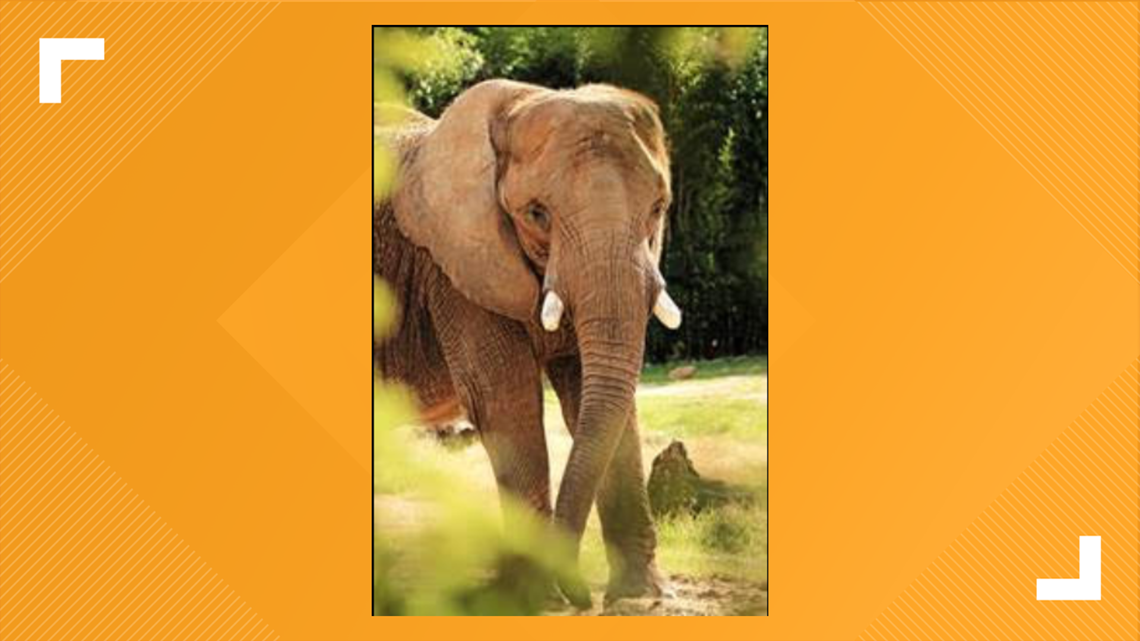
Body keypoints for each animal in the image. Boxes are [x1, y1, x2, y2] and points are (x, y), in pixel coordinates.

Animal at [373, 79, 682, 608]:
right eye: (537, 214)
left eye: (657, 209)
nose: (580, 596)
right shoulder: (456, 267)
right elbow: (505, 398)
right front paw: (536, 599)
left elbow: (596, 395)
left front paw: (637, 598)